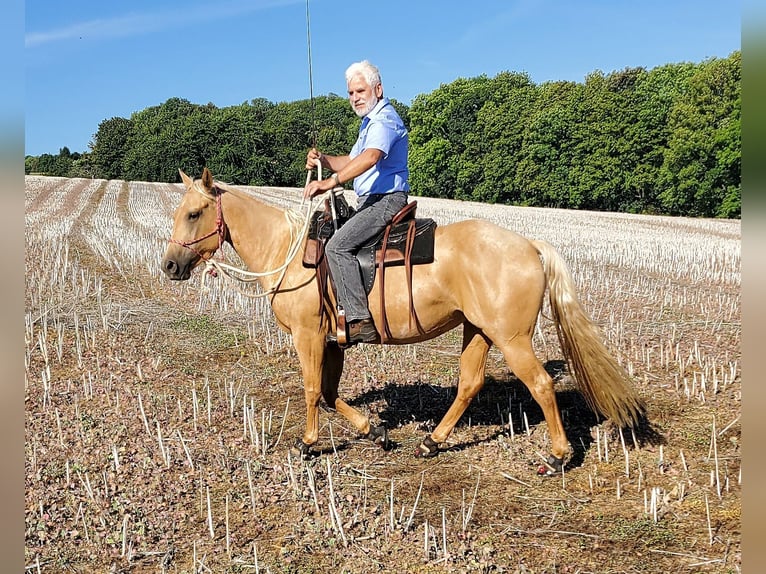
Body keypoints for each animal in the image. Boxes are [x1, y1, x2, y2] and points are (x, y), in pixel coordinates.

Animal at [164, 169, 648, 474]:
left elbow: (312, 391)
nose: (169, 265)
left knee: (541, 386)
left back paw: (558, 456)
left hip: (512, 338)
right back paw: (432, 442)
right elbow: (330, 393)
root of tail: (530, 245)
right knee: (469, 384)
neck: (287, 250)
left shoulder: (308, 337)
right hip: (478, 331)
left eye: (194, 214)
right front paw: (374, 430)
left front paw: (308, 443)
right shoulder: (333, 341)